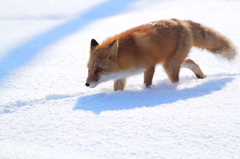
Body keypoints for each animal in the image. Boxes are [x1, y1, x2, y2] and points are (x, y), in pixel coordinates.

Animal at [84, 18, 236, 90]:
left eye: (99, 69)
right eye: (89, 69)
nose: (86, 84)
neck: (128, 54)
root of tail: (179, 21)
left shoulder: (150, 65)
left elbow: (147, 83)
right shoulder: (121, 76)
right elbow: (117, 89)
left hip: (169, 65)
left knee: (178, 77)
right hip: (170, 61)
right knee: (191, 61)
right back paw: (201, 77)